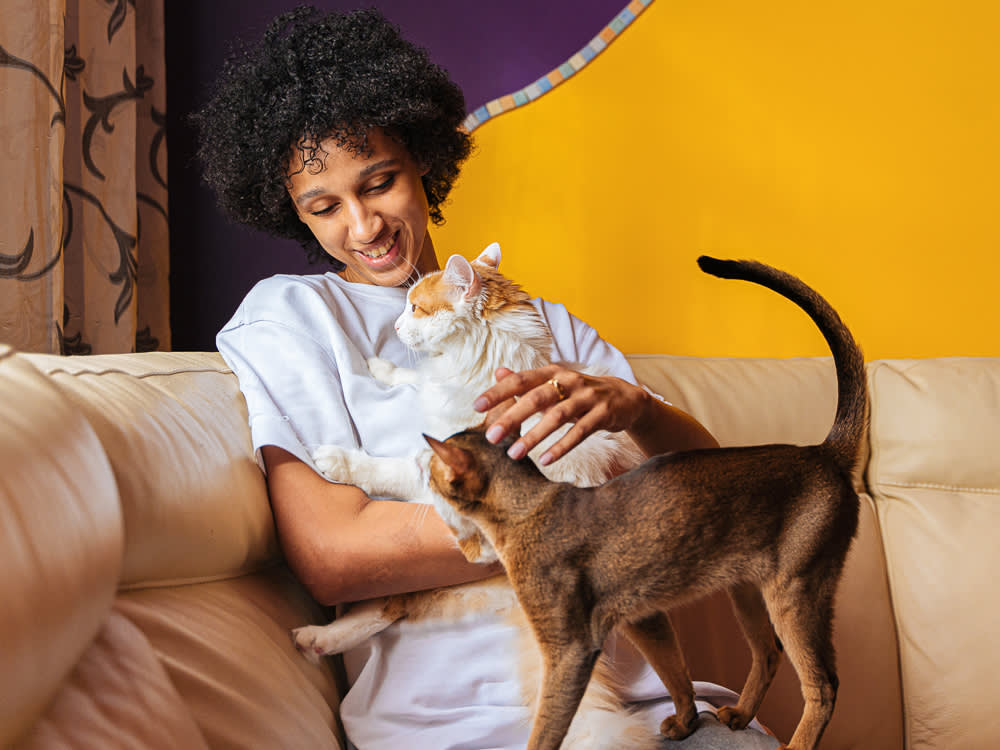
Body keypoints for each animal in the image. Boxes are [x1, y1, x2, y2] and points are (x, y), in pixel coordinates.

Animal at [294, 244, 656, 748]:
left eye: (414, 308)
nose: (396, 328)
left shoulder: (442, 468)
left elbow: (388, 467)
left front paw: (339, 460)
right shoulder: (435, 388)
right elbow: (412, 377)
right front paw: (381, 366)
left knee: (395, 604)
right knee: (390, 607)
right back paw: (317, 638)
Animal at [422, 258, 868, 750]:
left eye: (434, 470)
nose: (424, 471)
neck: (532, 504)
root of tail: (822, 452)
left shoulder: (570, 649)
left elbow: (546, 728)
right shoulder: (642, 617)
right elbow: (673, 669)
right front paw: (687, 721)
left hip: (794, 590)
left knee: (824, 684)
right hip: (748, 588)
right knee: (769, 651)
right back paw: (739, 714)